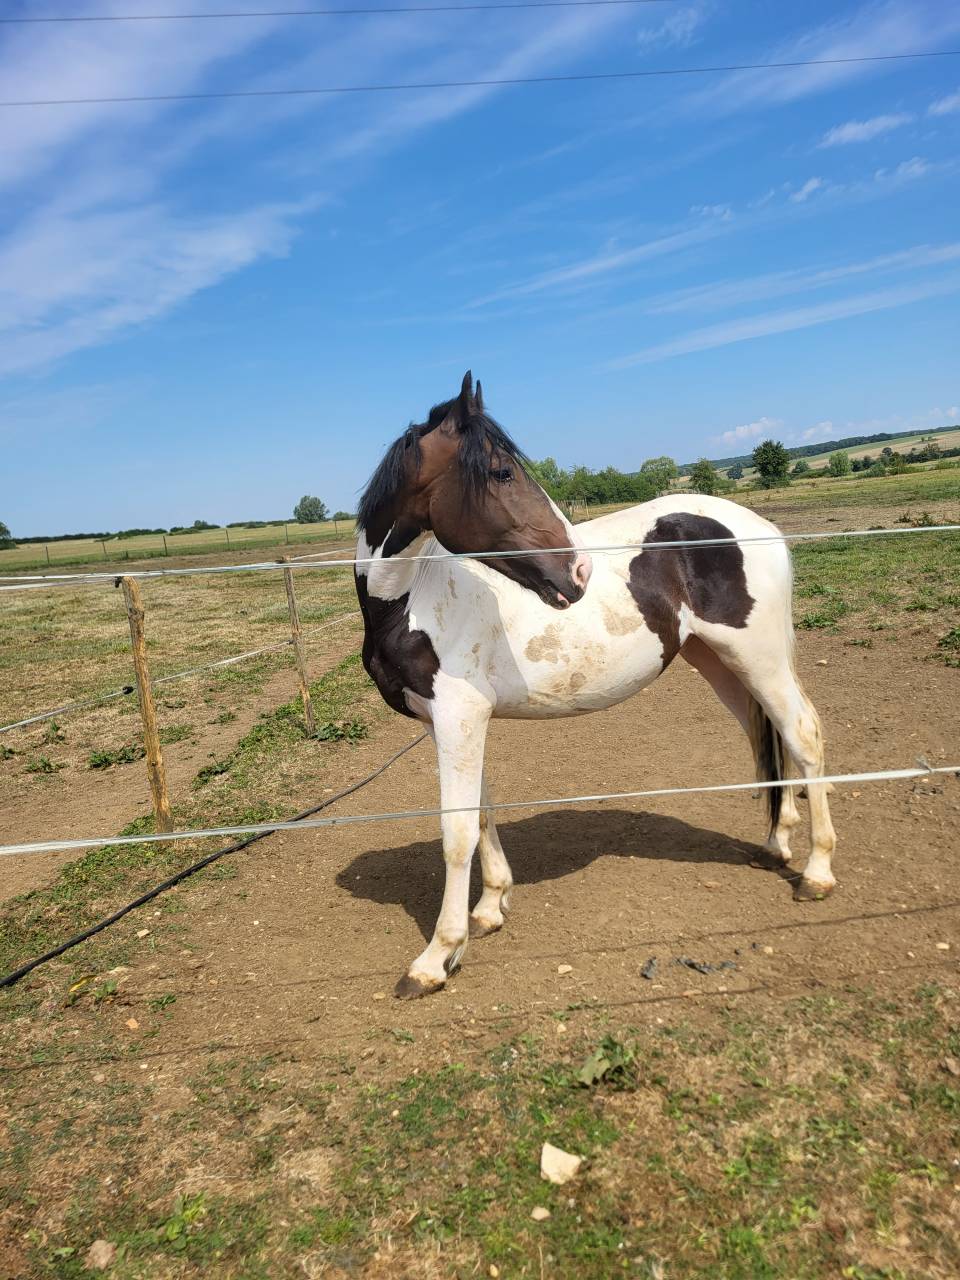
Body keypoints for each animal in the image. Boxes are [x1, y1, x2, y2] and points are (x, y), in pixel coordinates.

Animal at [354, 372, 836, 999]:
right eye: (502, 472)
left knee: (802, 734)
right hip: (721, 662)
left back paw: (818, 873)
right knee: (766, 739)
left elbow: (456, 830)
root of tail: (761, 529)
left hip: (759, 657)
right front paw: (490, 908)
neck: (414, 598)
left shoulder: (459, 717)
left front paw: (437, 957)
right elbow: (482, 808)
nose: (579, 571)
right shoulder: (454, 723)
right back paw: (777, 846)